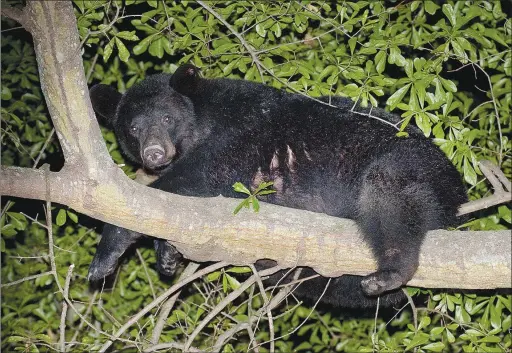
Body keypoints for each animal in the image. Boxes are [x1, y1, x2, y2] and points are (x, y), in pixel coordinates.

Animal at [89, 64, 468, 306]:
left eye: (167, 118)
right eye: (134, 128)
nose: (153, 152)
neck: (205, 117)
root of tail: (458, 194)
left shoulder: (241, 133)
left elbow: (193, 180)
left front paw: (105, 255)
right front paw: (167, 255)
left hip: (415, 163)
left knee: (390, 196)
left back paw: (390, 271)